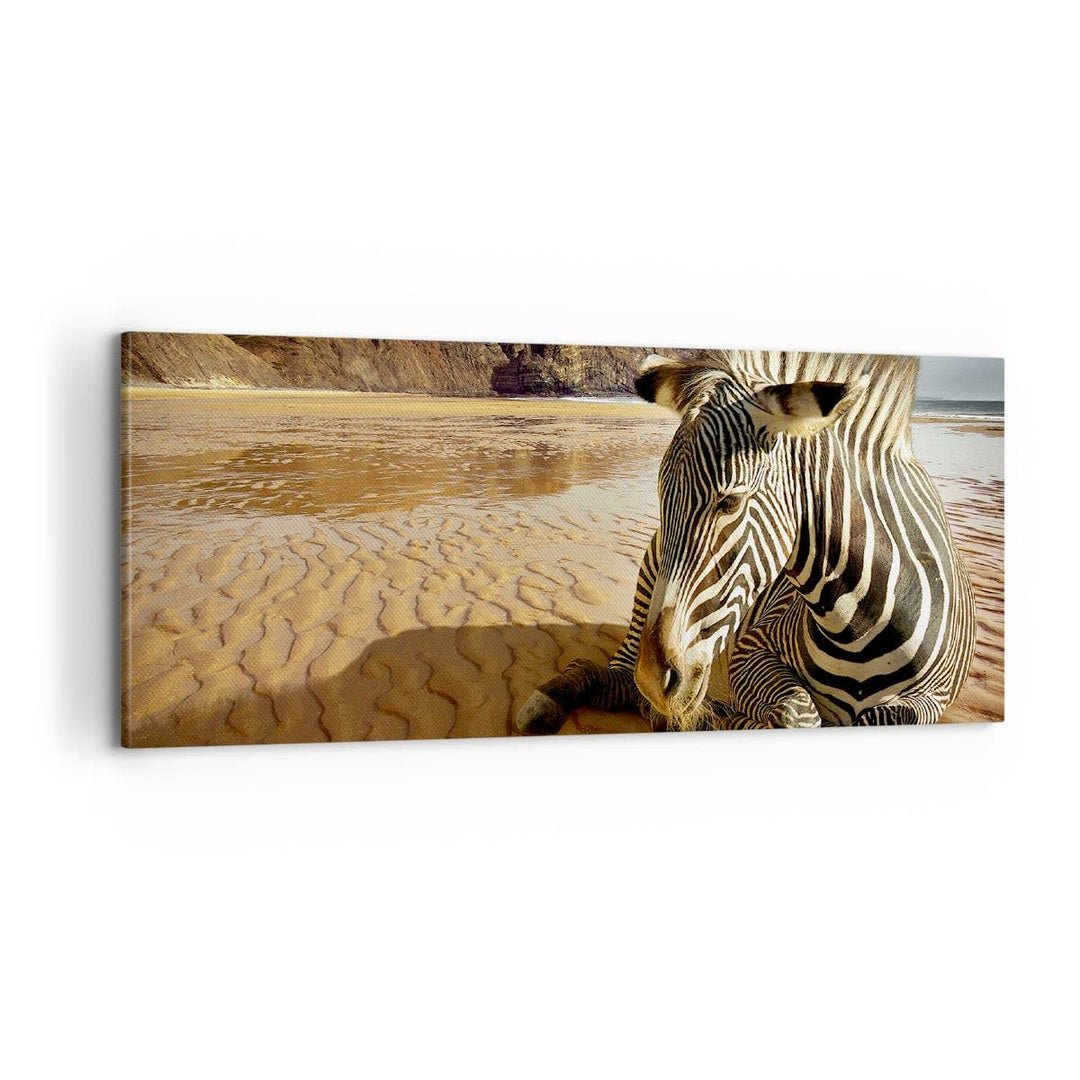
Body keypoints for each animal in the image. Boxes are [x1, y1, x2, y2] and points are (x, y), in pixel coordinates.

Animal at [515, 350, 976, 733]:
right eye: (662, 496)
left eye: (730, 502)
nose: (655, 680)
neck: (861, 624)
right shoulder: (752, 649)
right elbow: (794, 715)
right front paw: (712, 718)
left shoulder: (932, 700)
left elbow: (879, 716)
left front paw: (707, 717)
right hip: (649, 582)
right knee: (616, 675)